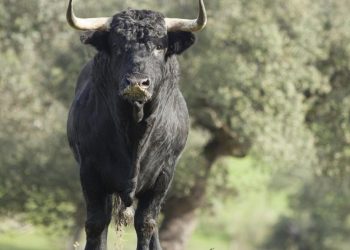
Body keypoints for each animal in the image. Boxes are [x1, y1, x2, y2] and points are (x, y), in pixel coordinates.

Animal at [66, 0, 205, 249]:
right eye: (117, 45)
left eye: (160, 46)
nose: (137, 83)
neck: (134, 131)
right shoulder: (90, 171)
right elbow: (95, 223)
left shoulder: (163, 175)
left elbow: (146, 223)